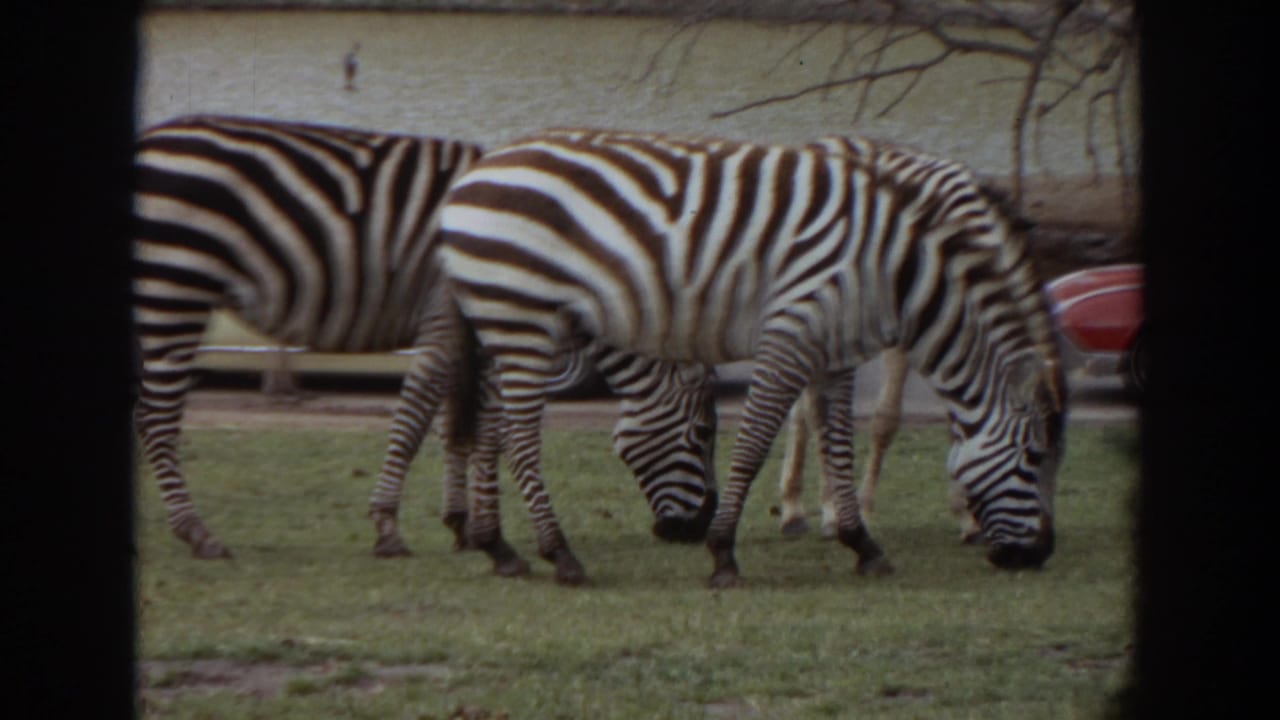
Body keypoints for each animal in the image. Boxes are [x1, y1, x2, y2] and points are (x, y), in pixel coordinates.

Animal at [132, 114, 718, 560]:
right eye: (702, 435)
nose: (698, 530)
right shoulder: (456, 320)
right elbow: (431, 420)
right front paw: (392, 526)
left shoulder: (471, 335)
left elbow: (455, 426)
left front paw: (460, 523)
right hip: (174, 287)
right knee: (156, 417)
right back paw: (198, 534)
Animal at [437, 127, 1065, 587]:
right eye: (1034, 457)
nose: (1039, 556)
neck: (899, 270)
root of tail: (472, 175)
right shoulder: (791, 331)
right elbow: (758, 439)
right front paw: (723, 554)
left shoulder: (836, 350)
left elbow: (838, 443)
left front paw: (860, 541)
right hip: (524, 319)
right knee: (519, 436)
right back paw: (559, 554)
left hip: (505, 323)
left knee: (491, 425)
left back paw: (501, 548)